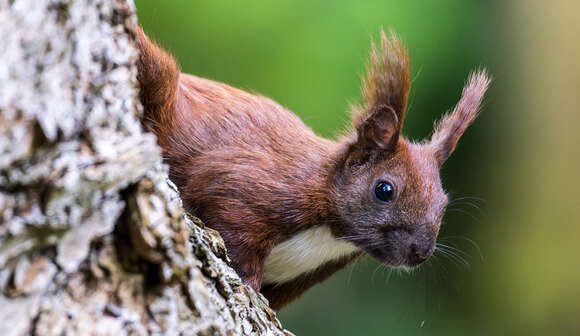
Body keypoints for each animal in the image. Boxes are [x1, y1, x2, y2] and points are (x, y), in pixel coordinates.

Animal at [135, 26, 490, 310]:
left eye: (443, 203)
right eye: (384, 190)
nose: (421, 252)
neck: (330, 233)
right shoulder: (248, 186)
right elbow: (233, 232)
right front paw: (247, 285)